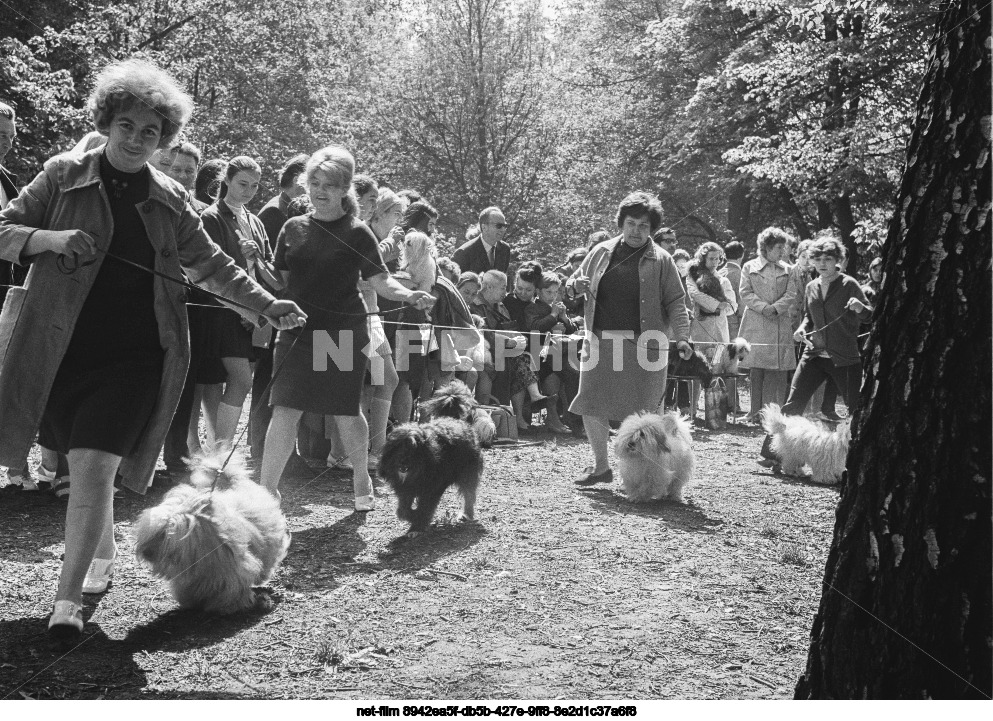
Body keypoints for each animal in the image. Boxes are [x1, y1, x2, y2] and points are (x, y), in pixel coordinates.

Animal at [132, 450, 288, 612]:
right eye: (155, 531)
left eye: (165, 534)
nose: (146, 552)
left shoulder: (233, 572)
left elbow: (232, 588)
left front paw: (230, 604)